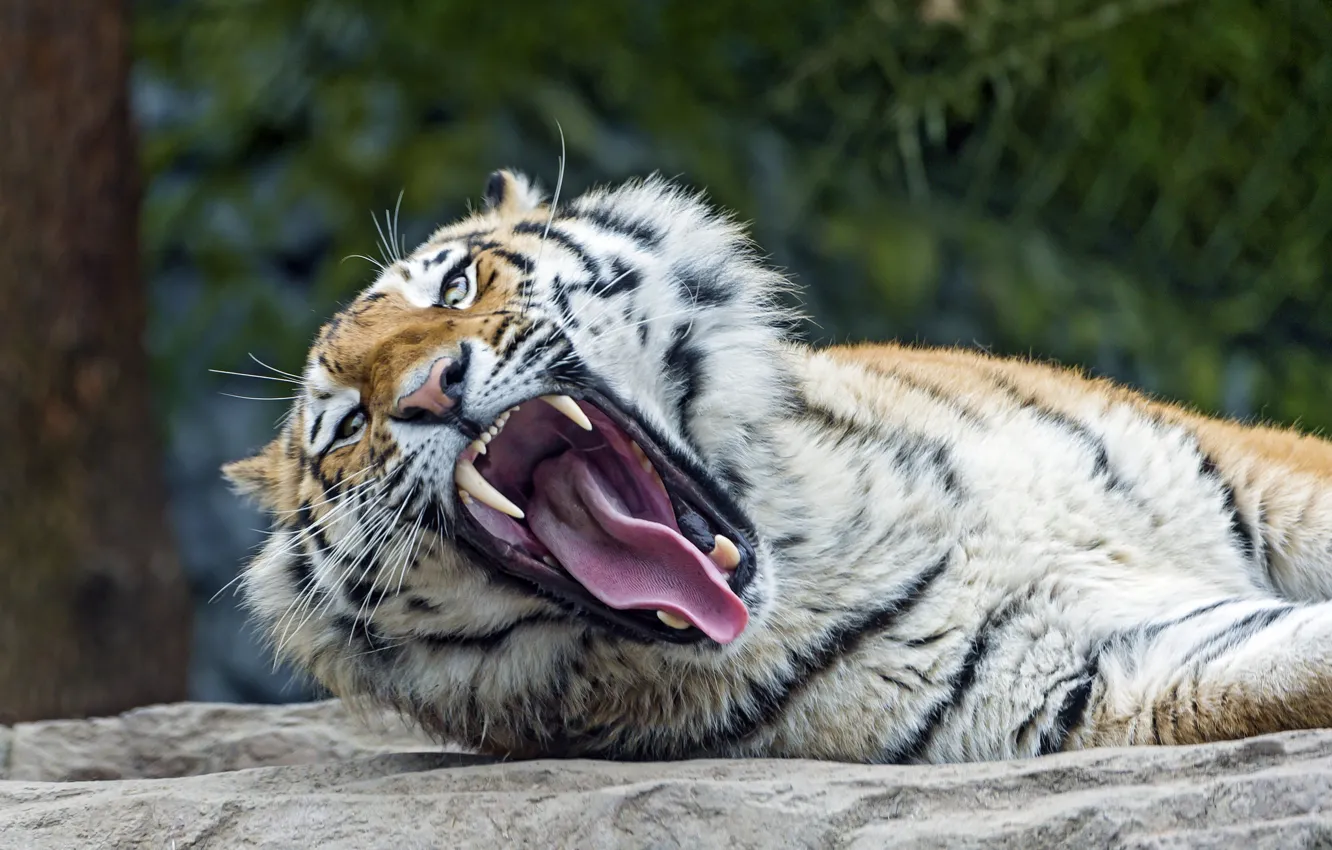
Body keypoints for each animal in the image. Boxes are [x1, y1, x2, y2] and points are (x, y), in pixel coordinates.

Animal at [224, 169, 1332, 764]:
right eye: (343, 427)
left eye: (454, 286)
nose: (431, 386)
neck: (828, 515)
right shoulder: (1086, 668)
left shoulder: (1256, 472)